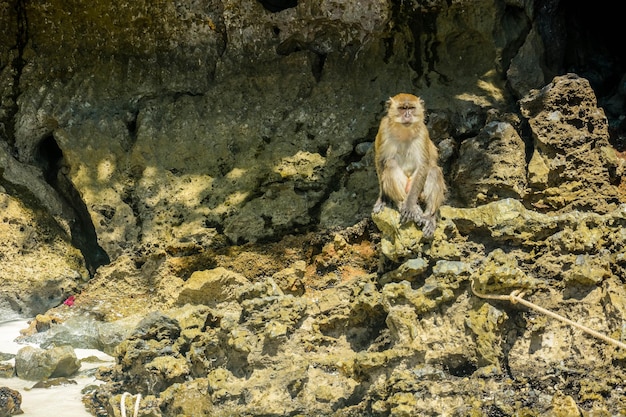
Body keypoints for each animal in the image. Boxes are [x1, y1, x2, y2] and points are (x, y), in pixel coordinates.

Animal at [370, 94, 444, 237]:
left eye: (411, 108)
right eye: (402, 108)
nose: (408, 115)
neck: (404, 131)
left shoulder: (423, 132)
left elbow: (423, 166)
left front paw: (410, 206)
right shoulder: (383, 128)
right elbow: (380, 160)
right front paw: (383, 198)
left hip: (418, 192)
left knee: (434, 170)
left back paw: (428, 216)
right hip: (405, 187)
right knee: (391, 164)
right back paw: (402, 202)